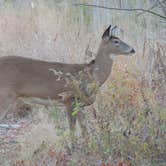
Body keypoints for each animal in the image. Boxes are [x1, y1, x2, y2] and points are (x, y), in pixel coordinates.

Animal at [0, 24, 135, 147]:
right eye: (116, 41)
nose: (133, 49)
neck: (91, 74)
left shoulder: (80, 104)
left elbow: (84, 130)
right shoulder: (70, 100)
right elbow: (72, 129)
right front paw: (73, 149)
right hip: (5, 95)